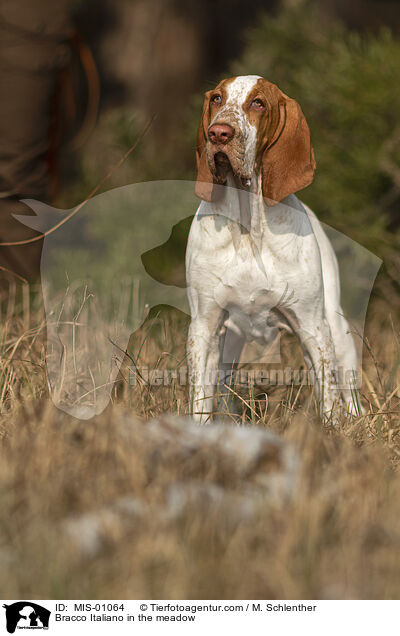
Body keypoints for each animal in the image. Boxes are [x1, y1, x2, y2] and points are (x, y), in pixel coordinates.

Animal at [186, 76, 360, 422]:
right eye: (217, 99)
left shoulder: (313, 329)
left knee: (348, 392)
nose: (218, 133)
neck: (247, 228)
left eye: (258, 103)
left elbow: (329, 401)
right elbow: (201, 401)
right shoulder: (204, 328)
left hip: (336, 328)